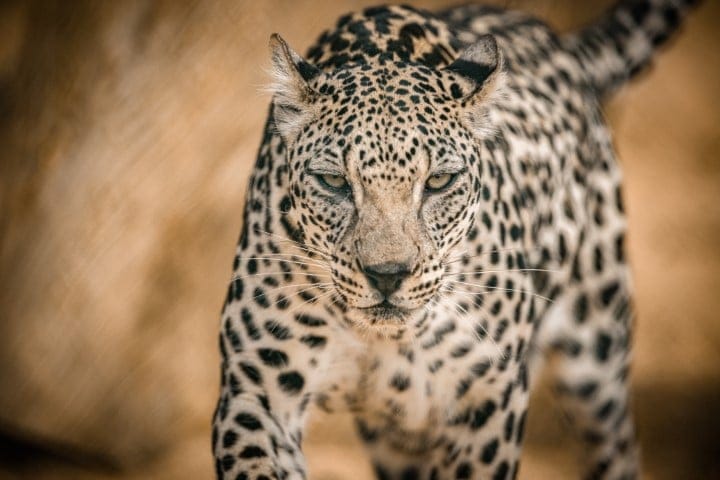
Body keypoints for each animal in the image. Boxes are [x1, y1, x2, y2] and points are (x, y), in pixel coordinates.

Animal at [211, 1, 696, 478]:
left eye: (439, 182)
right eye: (333, 182)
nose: (387, 276)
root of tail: (559, 43)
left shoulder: (488, 400)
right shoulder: (256, 391)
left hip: (597, 360)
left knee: (615, 445)